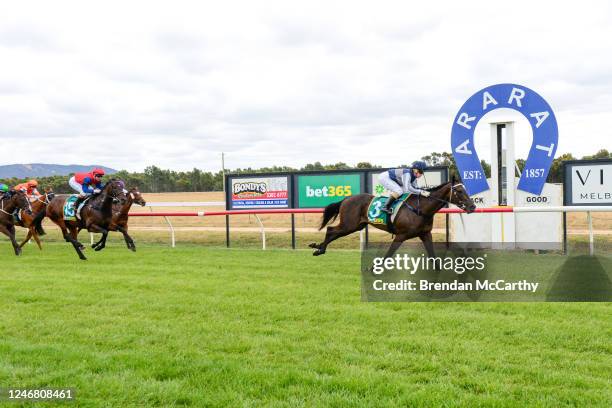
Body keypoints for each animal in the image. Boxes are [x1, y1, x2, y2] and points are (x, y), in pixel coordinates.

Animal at [308, 182, 476, 258]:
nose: (472, 206)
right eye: (459, 191)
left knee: (333, 232)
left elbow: (433, 256)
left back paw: (319, 247)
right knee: (331, 230)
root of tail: (347, 198)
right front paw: (374, 270)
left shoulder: (425, 234)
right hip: (349, 224)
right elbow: (389, 254)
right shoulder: (401, 235)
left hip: (357, 225)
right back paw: (319, 248)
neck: (421, 209)